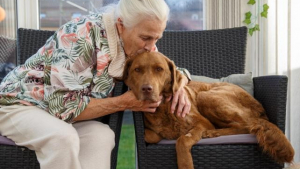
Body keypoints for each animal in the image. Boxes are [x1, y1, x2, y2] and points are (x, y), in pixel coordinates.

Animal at [123, 51, 294, 169]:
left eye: (159, 69)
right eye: (137, 70)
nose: (146, 89)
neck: (163, 109)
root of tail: (261, 111)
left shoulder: (202, 123)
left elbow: (182, 139)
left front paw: (185, 163)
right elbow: (151, 135)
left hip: (205, 96)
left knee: (246, 126)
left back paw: (213, 133)